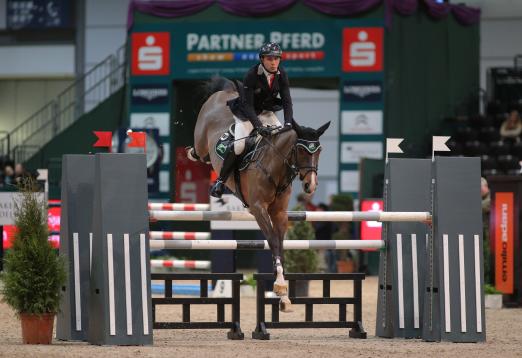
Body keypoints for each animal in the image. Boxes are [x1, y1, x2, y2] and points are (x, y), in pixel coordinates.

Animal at [185, 77, 328, 310]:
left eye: (319, 150)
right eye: (301, 150)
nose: (311, 185)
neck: (275, 165)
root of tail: (226, 92)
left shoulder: (279, 212)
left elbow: (280, 244)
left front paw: (283, 295)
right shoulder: (258, 208)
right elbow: (272, 241)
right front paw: (280, 287)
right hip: (202, 139)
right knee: (198, 152)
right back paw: (200, 164)